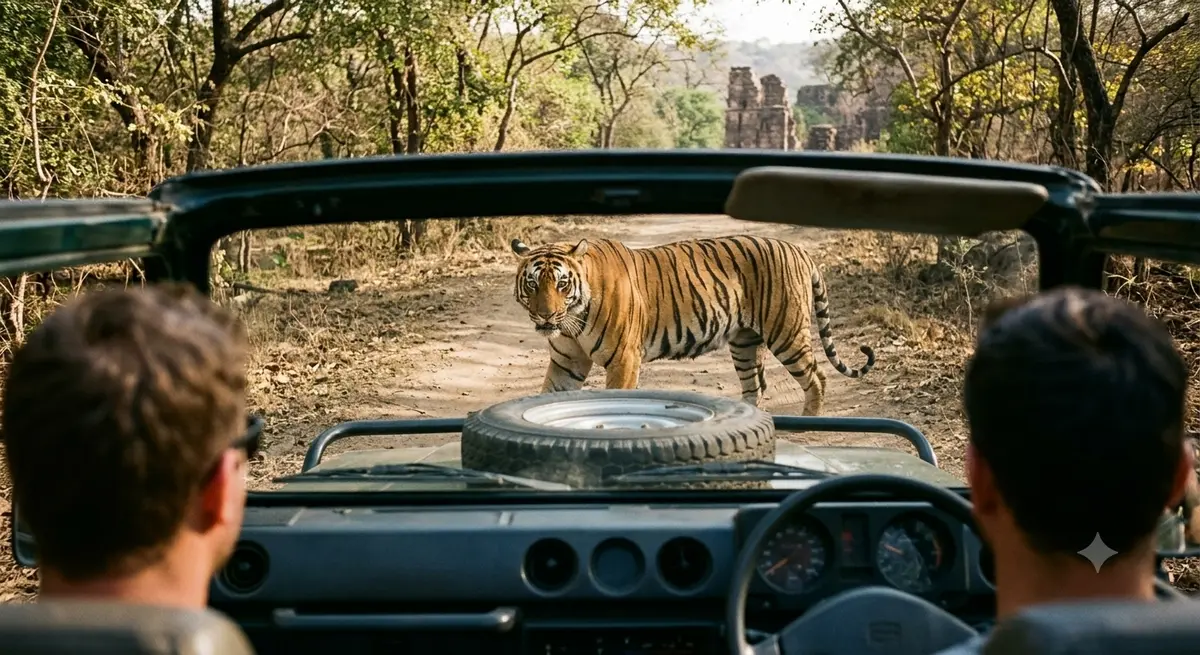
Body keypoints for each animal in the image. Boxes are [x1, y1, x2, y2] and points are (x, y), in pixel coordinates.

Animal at [510, 234, 875, 415]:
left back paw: (808, 421)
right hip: (745, 341)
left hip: (786, 332)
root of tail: (799, 250)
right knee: (755, 386)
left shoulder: (624, 360)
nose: (545, 316)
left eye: (562, 284)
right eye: (533, 284)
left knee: (817, 378)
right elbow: (548, 394)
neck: (572, 320)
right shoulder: (566, 362)